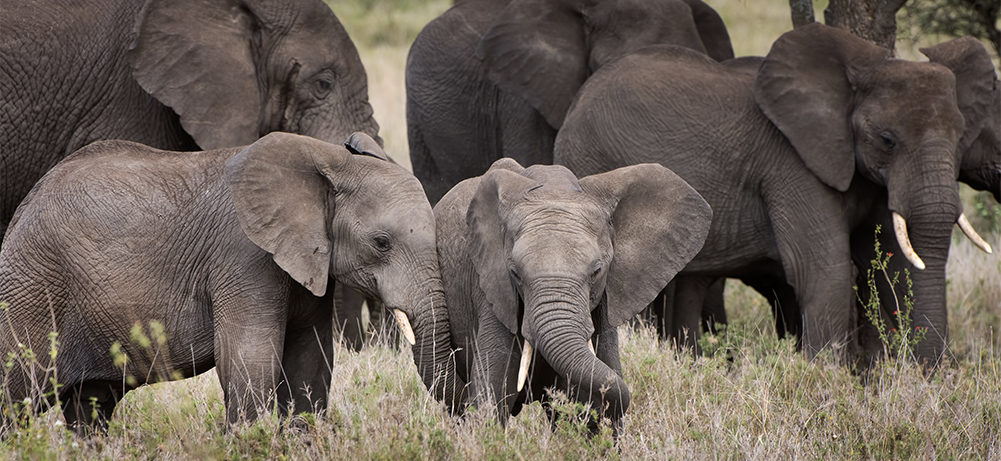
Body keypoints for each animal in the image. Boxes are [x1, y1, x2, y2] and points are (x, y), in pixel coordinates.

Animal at [0, 132, 464, 436]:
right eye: (381, 242)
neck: (328, 158)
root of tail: (23, 209)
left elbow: (310, 357)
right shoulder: (243, 257)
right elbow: (249, 356)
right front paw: (249, 442)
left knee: (91, 405)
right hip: (32, 289)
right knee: (15, 393)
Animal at [554, 23, 996, 363]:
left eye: (962, 137)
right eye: (887, 139)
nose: (935, 371)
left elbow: (894, 263)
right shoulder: (791, 163)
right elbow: (823, 270)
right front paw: (827, 382)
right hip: (591, 158)